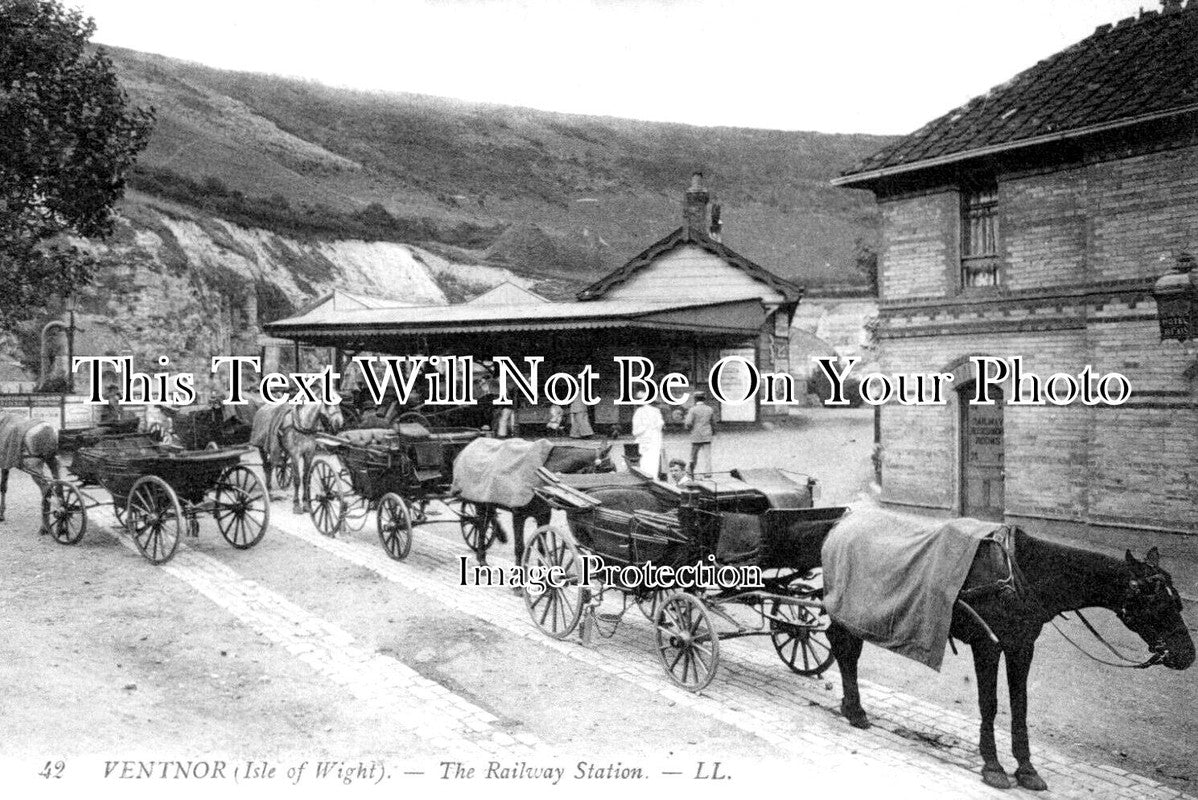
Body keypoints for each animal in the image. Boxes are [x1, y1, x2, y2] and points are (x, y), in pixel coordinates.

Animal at [824, 510, 1188, 790]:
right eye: (1156, 604)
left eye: (1179, 603)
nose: (1187, 654)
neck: (1018, 574)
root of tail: (841, 523)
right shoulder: (987, 645)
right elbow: (990, 704)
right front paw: (993, 766)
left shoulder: (1021, 645)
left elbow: (1020, 705)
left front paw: (1026, 769)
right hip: (847, 610)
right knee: (844, 647)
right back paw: (855, 710)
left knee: (845, 648)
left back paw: (850, 707)